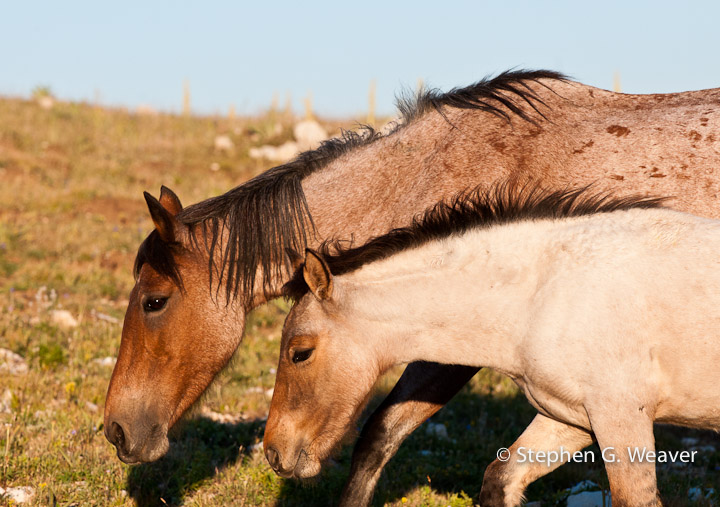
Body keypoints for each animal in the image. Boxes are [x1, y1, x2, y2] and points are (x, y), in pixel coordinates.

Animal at [264, 185, 720, 506]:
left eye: (300, 352)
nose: (272, 452)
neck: (545, 290)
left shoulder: (621, 417)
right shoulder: (572, 419)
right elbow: (500, 480)